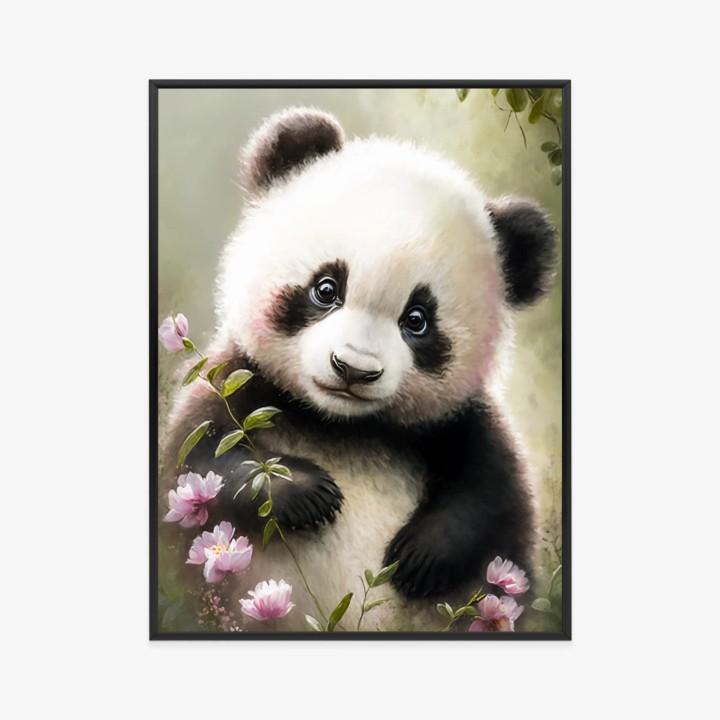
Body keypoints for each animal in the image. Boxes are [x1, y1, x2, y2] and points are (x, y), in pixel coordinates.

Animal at [160, 106, 556, 632]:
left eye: (417, 320)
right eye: (326, 288)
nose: (352, 368)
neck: (344, 426)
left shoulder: (459, 424)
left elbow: (491, 497)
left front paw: (420, 556)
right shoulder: (238, 385)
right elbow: (199, 464)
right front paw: (308, 493)